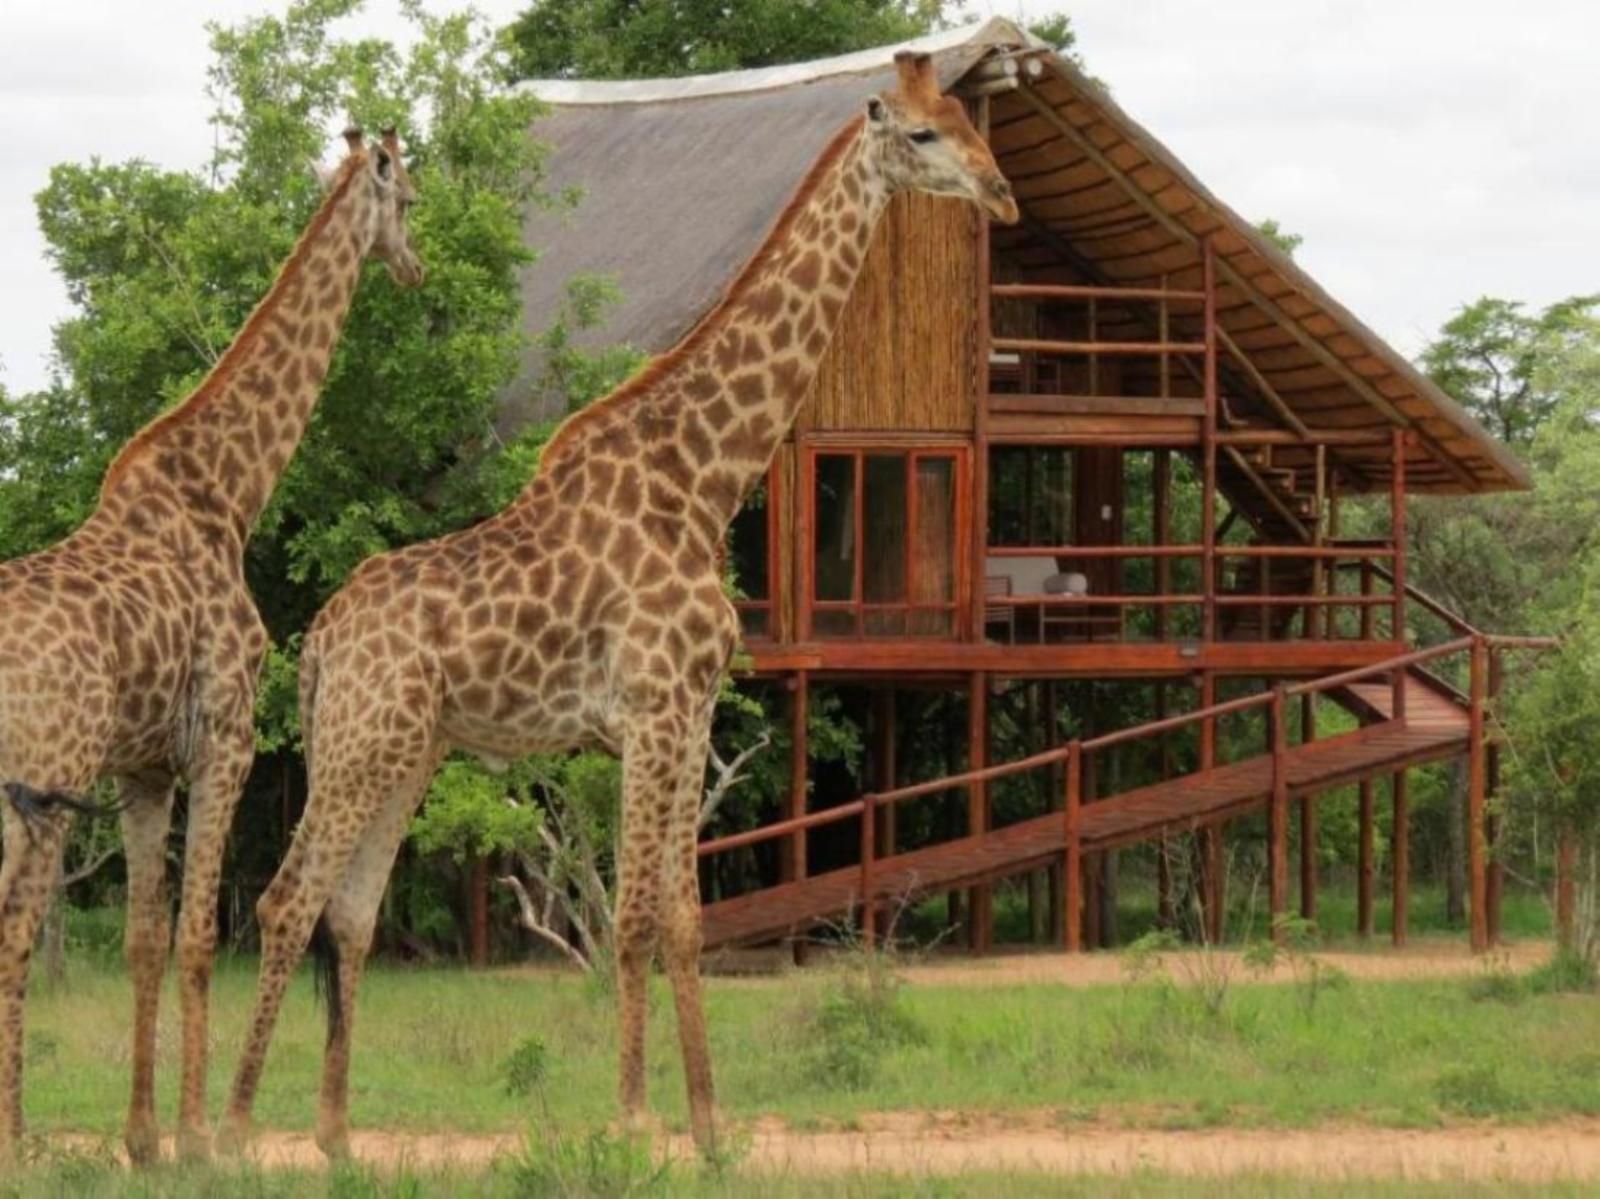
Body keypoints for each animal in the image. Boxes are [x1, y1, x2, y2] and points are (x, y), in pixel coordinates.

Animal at [0, 124, 422, 1158]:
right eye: (409, 197)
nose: (415, 266)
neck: (230, 495)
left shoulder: (145, 768)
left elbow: (147, 940)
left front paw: (145, 1138)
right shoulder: (225, 737)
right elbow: (196, 936)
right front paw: (198, 1139)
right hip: (44, 776)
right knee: (17, 933)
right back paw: (19, 1142)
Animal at [216, 51, 1011, 1152]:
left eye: (969, 120)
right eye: (925, 133)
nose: (1002, 193)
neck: (704, 477)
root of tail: (324, 642)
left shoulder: (695, 708)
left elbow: (683, 913)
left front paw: (711, 1127)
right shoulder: (650, 706)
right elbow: (633, 910)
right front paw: (634, 1115)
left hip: (406, 751)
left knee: (350, 908)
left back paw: (336, 1140)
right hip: (359, 744)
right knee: (287, 898)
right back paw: (232, 1130)